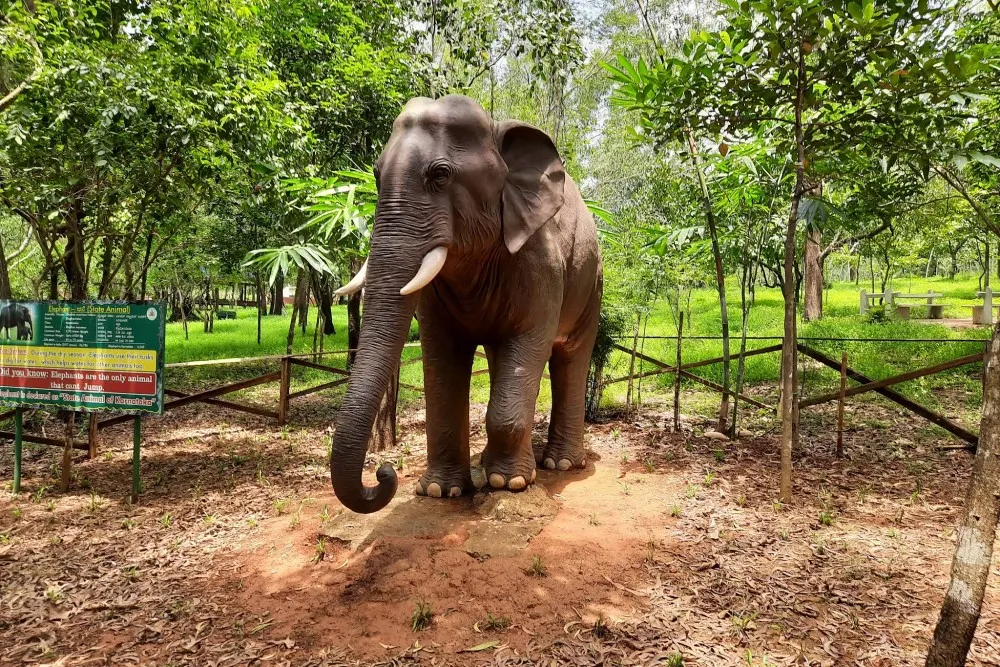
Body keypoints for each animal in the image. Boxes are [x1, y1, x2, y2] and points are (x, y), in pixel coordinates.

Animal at [329, 95, 603, 514]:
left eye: (440, 175)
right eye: (375, 173)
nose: (383, 472)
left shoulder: (542, 264)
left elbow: (529, 342)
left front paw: (510, 484)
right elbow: (443, 358)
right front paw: (441, 490)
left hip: (593, 282)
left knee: (571, 357)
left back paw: (561, 464)